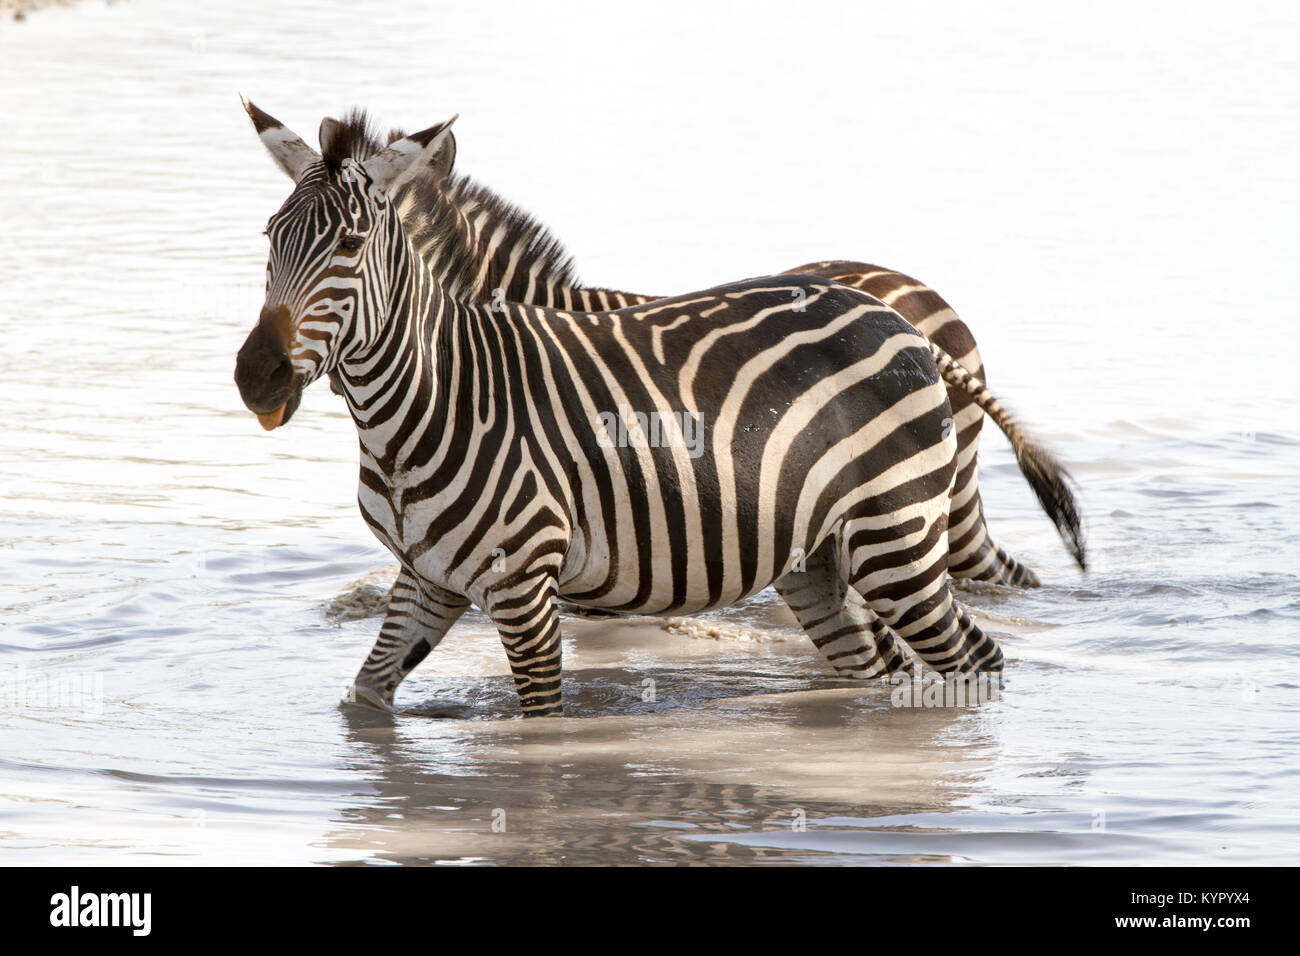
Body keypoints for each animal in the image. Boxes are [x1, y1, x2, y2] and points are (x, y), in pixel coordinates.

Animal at [239, 104, 1081, 717]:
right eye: (270, 236)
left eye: (350, 244)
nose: (256, 376)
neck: (434, 399)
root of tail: (902, 313)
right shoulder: (428, 576)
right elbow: (366, 696)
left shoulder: (526, 582)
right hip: (826, 556)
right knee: (897, 659)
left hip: (898, 530)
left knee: (975, 654)